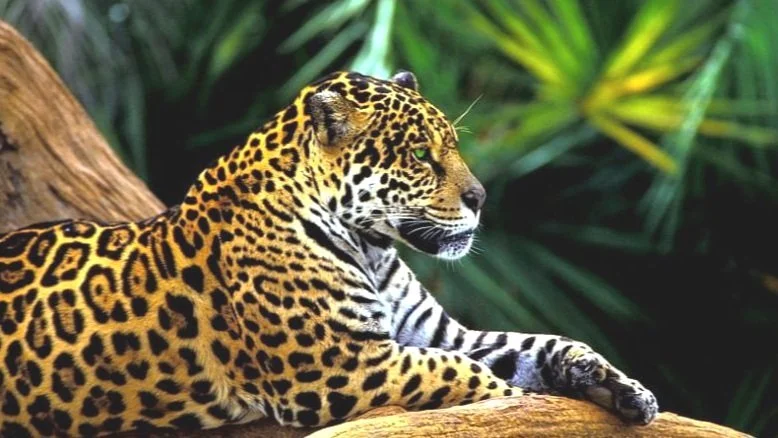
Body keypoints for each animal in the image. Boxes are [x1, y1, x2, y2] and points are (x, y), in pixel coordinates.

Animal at [0, 70, 658, 437]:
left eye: (452, 145)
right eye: (420, 154)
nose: (480, 198)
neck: (370, 246)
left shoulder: (436, 334)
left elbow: (543, 345)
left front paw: (622, 388)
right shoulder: (337, 365)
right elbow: (459, 374)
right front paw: (514, 401)